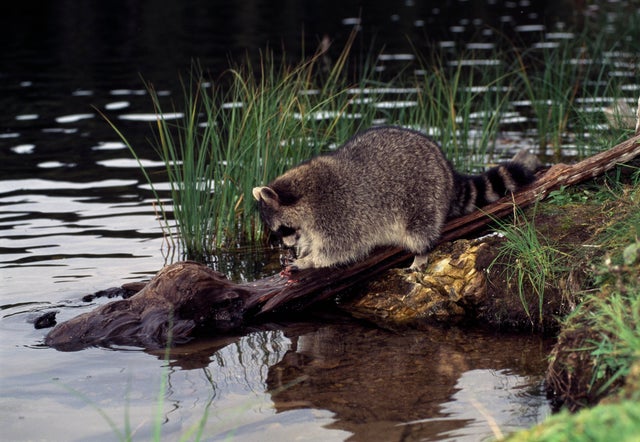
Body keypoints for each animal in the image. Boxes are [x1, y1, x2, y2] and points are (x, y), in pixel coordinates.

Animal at [252, 126, 536, 271]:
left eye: (281, 229)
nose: (286, 245)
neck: (306, 193)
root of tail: (447, 170)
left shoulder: (338, 212)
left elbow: (341, 248)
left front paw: (309, 260)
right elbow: (314, 237)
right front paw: (304, 249)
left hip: (423, 196)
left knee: (420, 229)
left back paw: (421, 252)